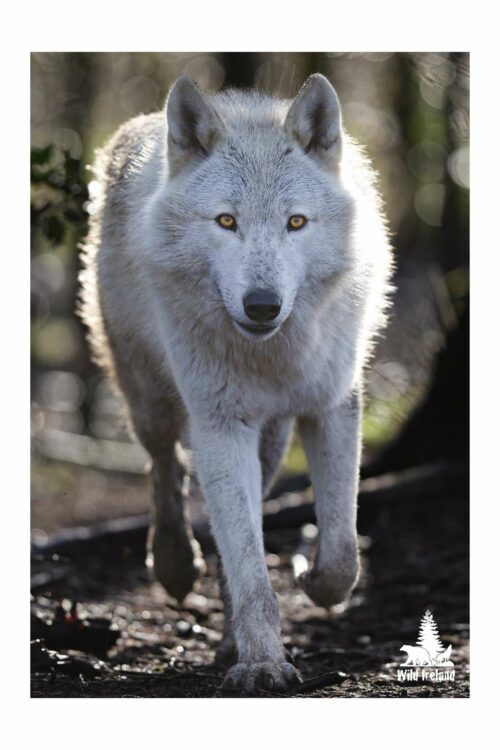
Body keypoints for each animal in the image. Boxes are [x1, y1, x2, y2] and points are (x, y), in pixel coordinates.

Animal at [79, 73, 393, 693]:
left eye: (296, 222)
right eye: (226, 221)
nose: (263, 305)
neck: (272, 355)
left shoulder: (331, 407)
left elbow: (341, 555)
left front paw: (306, 583)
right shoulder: (220, 425)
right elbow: (249, 564)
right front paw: (263, 664)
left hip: (270, 442)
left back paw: (226, 638)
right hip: (148, 398)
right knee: (164, 467)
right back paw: (176, 566)